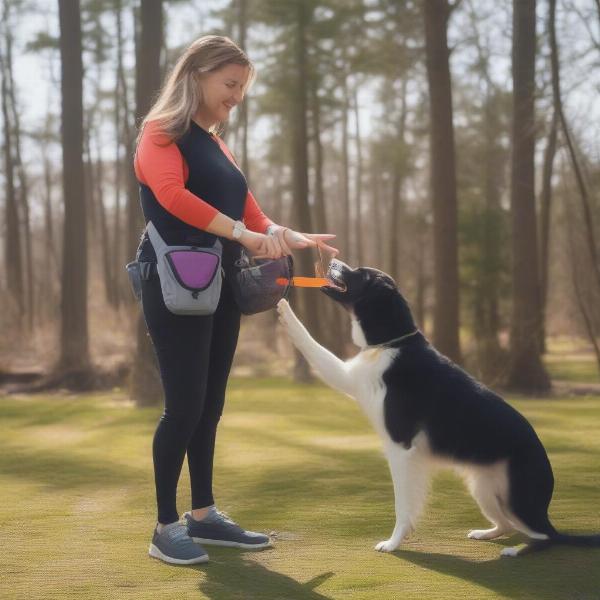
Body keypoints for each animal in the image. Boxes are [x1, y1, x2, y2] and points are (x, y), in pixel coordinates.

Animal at [276, 258, 600, 556]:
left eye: (361, 274)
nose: (332, 260)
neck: (391, 342)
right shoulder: (349, 378)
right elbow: (313, 347)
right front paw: (282, 306)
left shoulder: (401, 449)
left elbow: (403, 505)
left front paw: (393, 543)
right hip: (483, 488)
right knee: (508, 525)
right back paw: (486, 533)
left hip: (516, 498)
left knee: (545, 538)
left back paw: (517, 550)